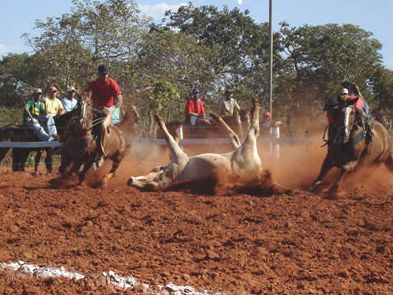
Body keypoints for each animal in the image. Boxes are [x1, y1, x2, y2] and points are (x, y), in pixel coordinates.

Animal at [129, 97, 284, 194]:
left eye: (153, 171)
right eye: (148, 185)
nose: (130, 180)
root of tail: (260, 172)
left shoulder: (179, 156)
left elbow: (170, 139)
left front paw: (161, 121)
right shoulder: (179, 157)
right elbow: (170, 139)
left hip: (241, 146)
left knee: (238, 134)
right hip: (247, 145)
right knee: (248, 130)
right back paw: (253, 106)